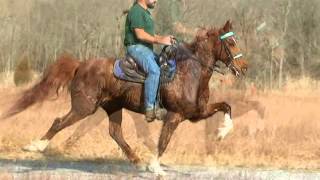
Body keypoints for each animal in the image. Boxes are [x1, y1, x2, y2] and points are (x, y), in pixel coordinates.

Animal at [2, 20, 248, 175]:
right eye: (231, 42)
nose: (244, 67)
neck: (189, 72)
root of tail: (81, 64)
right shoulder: (174, 116)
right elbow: (163, 142)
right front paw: (155, 166)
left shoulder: (197, 113)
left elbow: (226, 106)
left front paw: (221, 133)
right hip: (84, 107)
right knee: (59, 122)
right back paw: (35, 146)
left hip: (112, 107)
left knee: (115, 133)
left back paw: (136, 161)